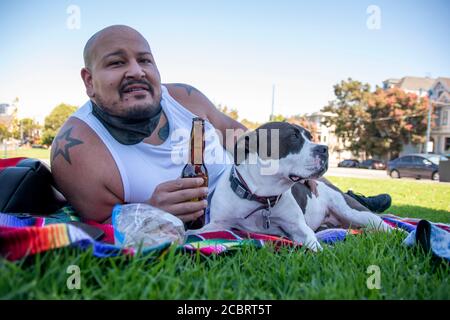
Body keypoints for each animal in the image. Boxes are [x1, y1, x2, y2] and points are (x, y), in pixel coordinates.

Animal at [189, 122, 390, 250]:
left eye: (310, 136)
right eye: (293, 136)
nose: (325, 148)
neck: (260, 197)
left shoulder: (298, 228)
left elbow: (314, 246)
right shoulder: (217, 224)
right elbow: (195, 232)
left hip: (353, 211)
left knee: (381, 223)